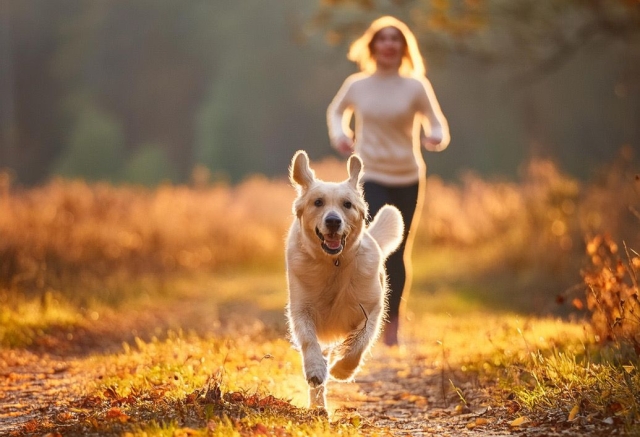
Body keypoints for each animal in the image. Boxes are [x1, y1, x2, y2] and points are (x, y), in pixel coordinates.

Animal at [286, 150, 402, 408]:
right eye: (318, 202)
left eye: (347, 205)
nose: (333, 221)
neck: (334, 263)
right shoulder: (301, 309)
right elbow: (309, 341)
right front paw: (316, 370)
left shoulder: (372, 308)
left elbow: (360, 343)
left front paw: (343, 369)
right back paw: (318, 407)